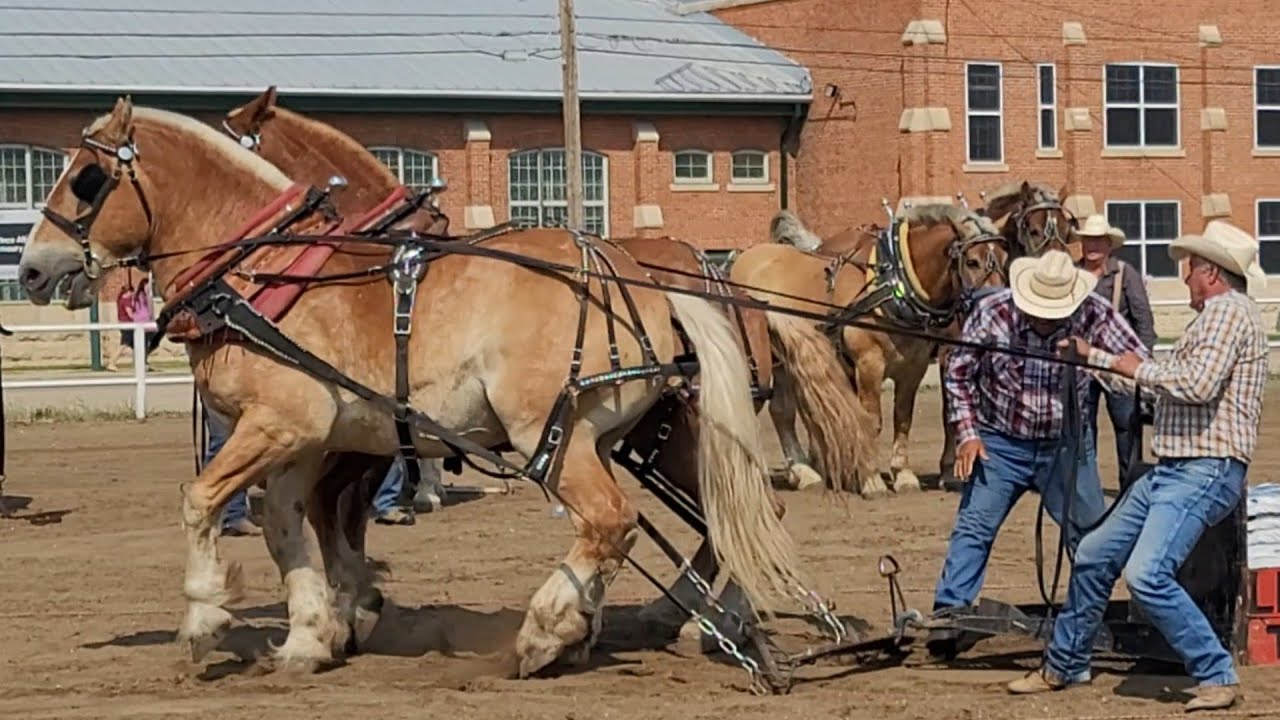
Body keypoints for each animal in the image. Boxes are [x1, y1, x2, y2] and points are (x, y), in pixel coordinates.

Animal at [17, 97, 807, 680]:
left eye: (86, 177)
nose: (30, 270)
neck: (264, 270)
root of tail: (638, 273)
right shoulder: (310, 441)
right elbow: (287, 525)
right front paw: (312, 633)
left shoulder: (285, 423)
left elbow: (206, 501)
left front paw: (207, 616)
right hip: (632, 435)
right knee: (729, 509)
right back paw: (669, 620)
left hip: (556, 434)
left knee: (617, 523)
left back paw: (551, 632)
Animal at [730, 203, 1010, 496]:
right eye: (972, 262)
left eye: (1005, 259)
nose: (998, 309)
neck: (894, 283)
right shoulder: (869, 364)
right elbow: (871, 420)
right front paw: (871, 478)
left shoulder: (914, 367)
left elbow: (903, 418)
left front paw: (903, 474)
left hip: (783, 361)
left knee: (782, 411)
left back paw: (804, 472)